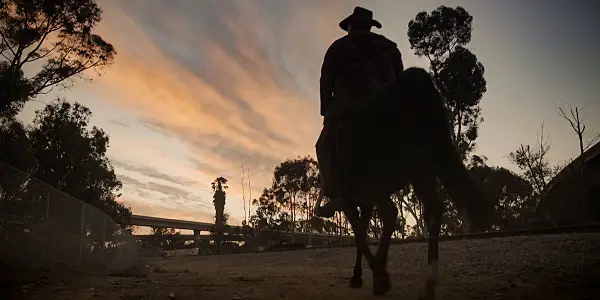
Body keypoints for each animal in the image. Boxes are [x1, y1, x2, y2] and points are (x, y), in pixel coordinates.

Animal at [314, 67, 492, 298]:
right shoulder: (364, 201)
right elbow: (362, 231)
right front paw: (359, 275)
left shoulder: (350, 198)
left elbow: (360, 234)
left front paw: (366, 274)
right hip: (421, 170)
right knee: (433, 208)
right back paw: (429, 280)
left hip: (377, 179)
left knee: (392, 212)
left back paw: (382, 276)